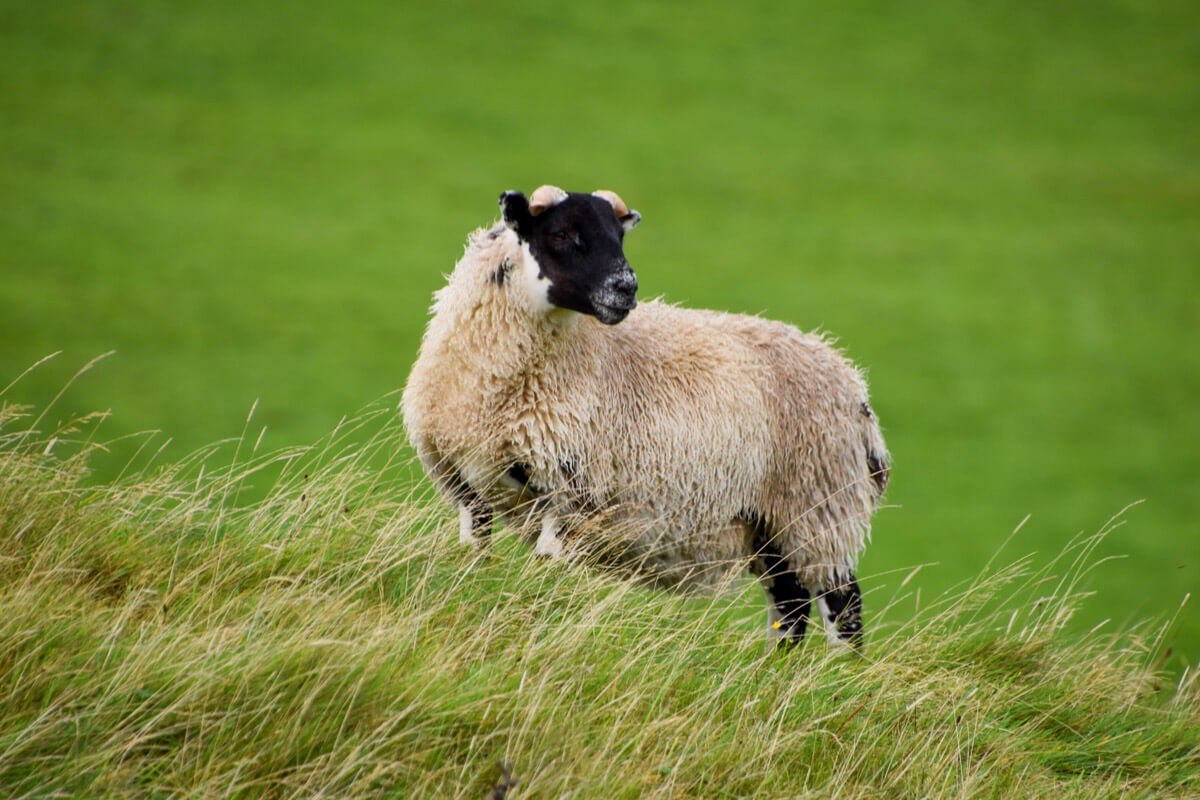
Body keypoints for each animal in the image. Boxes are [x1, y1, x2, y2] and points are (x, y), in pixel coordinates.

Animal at [405, 188, 892, 652]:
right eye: (560, 233)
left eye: (618, 237)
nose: (626, 287)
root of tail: (855, 387)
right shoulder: (465, 486)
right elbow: (476, 560)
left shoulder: (571, 490)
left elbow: (545, 574)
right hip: (772, 526)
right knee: (790, 607)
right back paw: (775, 672)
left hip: (817, 504)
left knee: (843, 605)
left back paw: (834, 674)